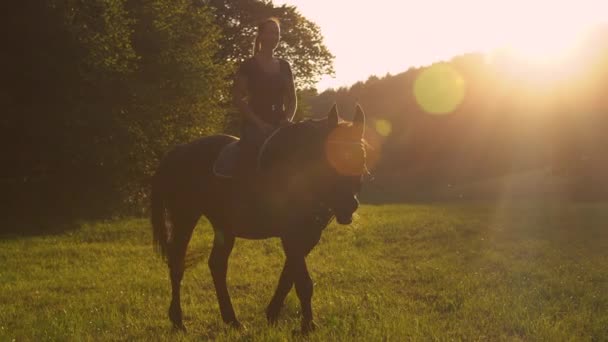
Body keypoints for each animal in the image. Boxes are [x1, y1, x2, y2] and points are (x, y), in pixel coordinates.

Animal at [151, 103, 370, 334]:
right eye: (331, 156)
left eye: (362, 157)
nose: (348, 205)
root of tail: (180, 151)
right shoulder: (291, 235)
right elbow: (303, 282)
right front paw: (307, 326)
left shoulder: (310, 235)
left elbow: (288, 277)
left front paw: (272, 314)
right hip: (185, 216)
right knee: (177, 263)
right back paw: (178, 321)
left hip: (224, 226)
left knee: (217, 265)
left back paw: (232, 320)